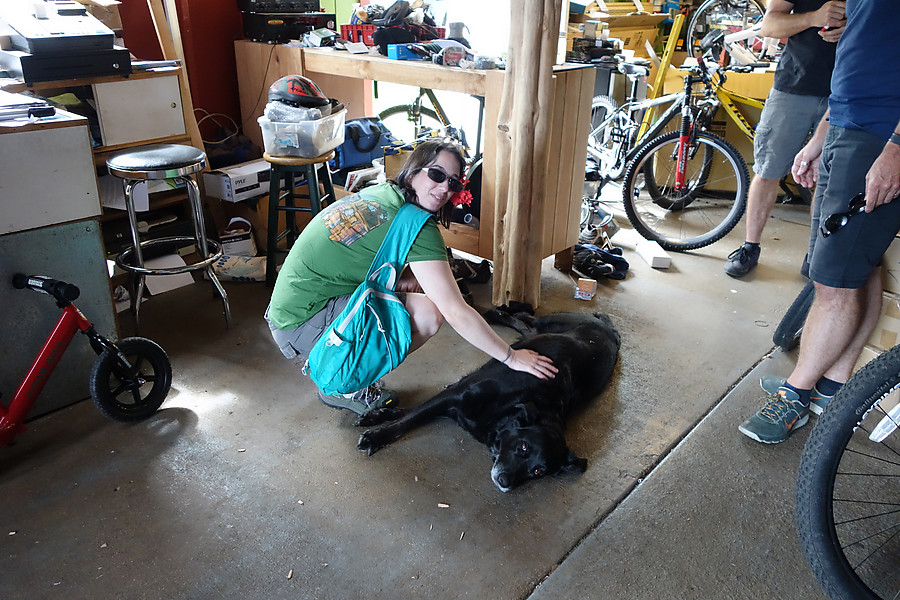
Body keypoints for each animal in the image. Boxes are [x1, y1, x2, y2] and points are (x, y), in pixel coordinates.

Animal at [356, 312, 624, 490]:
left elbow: (412, 412)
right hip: (551, 322)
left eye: (538, 471)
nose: (505, 482)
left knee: (524, 328)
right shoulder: (454, 393)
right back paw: (498, 311)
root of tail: (610, 329)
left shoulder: (454, 403)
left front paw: (379, 418)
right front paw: (377, 434)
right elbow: (410, 418)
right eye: (523, 446)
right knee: (527, 318)